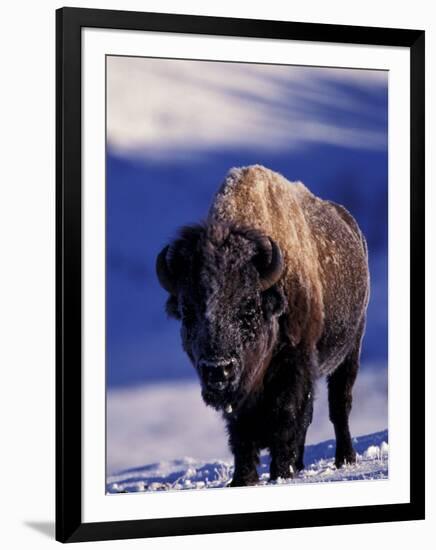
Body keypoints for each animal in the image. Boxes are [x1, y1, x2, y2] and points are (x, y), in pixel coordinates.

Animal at [156, 164, 368, 488]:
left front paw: (281, 472)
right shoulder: (242, 394)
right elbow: (241, 432)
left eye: (249, 308)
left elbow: (287, 415)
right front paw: (242, 479)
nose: (217, 370)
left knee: (338, 405)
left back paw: (344, 458)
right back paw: (301, 463)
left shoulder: (294, 364)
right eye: (187, 311)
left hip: (350, 350)